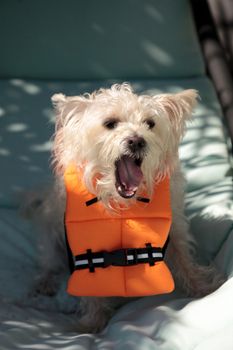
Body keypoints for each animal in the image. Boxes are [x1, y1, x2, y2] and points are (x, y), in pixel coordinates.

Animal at [30, 83, 223, 332]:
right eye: (110, 123)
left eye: (150, 123)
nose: (137, 141)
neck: (122, 204)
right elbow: (90, 282)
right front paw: (91, 324)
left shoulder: (175, 229)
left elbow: (183, 258)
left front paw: (202, 288)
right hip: (49, 233)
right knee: (49, 261)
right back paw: (45, 281)